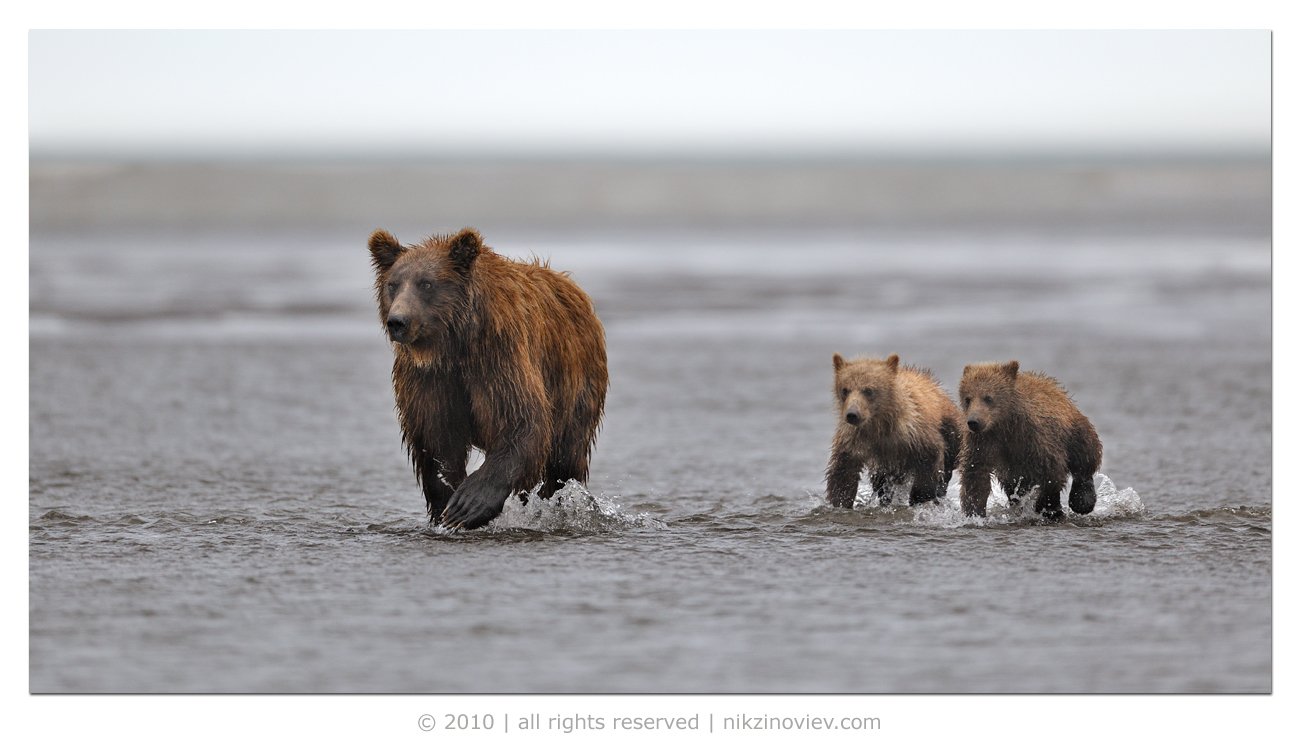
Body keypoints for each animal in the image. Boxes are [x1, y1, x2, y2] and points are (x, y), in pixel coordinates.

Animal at [369, 226, 605, 524]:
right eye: (393, 284)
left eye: (427, 284)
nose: (398, 321)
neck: (453, 345)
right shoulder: (429, 379)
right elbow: (436, 442)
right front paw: (446, 503)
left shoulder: (498, 358)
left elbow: (523, 421)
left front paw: (467, 504)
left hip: (576, 381)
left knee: (566, 459)